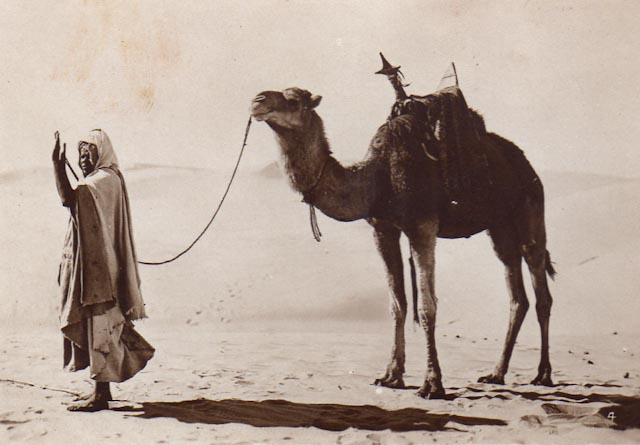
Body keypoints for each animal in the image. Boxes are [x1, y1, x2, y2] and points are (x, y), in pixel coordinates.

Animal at [250, 73, 555, 399]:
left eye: (294, 100)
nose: (257, 100)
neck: (377, 176)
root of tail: (523, 161)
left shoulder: (422, 227)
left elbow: (426, 307)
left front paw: (432, 384)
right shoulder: (383, 229)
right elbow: (397, 305)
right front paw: (391, 376)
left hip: (531, 205)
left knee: (540, 288)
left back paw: (543, 374)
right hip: (499, 226)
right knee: (517, 294)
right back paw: (496, 374)